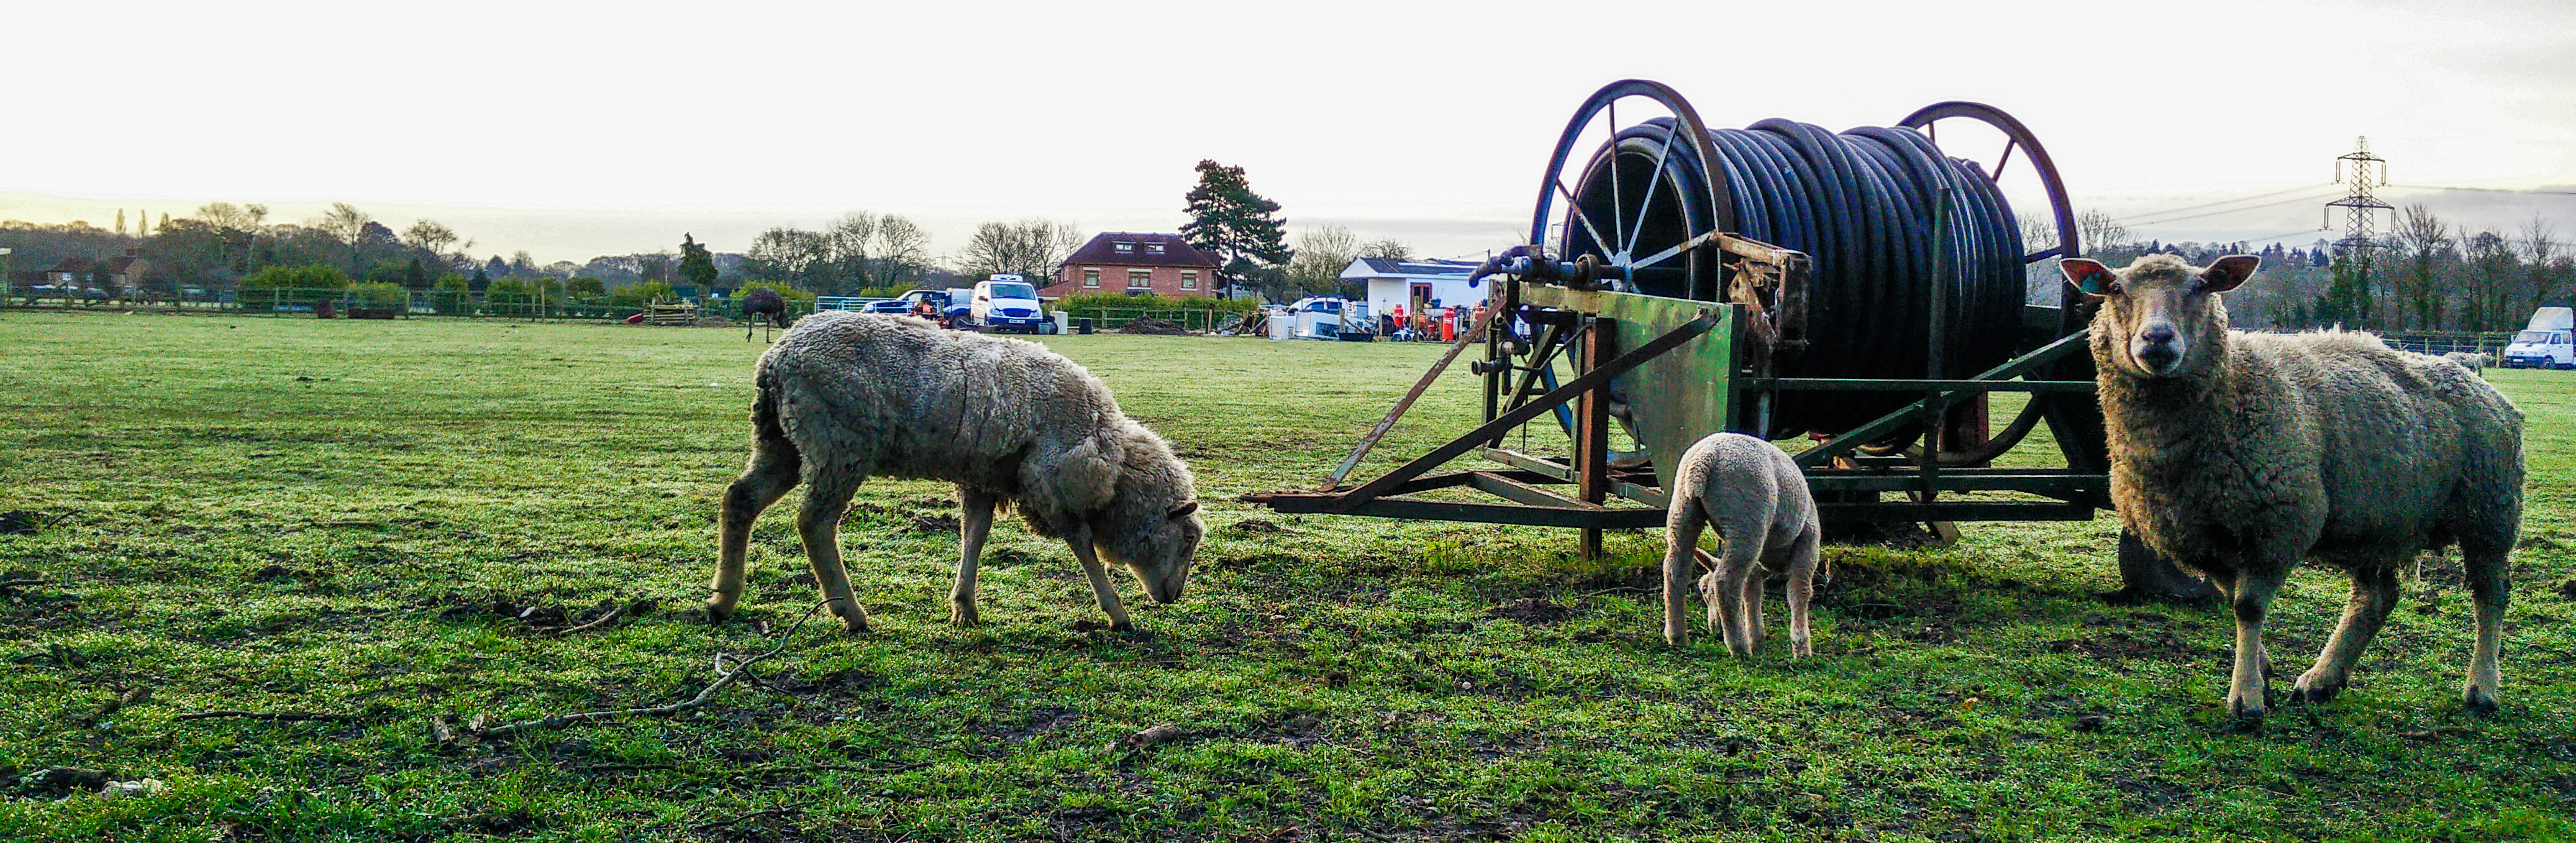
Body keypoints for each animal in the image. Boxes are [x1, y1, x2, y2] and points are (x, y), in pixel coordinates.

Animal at [706, 313, 1205, 637]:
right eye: (1186, 539)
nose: (1174, 596)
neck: (1113, 456)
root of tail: (777, 358)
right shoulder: (1048, 480)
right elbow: (1082, 545)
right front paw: (1117, 612)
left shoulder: (985, 476)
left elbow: (975, 534)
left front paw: (964, 606)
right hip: (838, 445)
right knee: (814, 524)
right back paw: (851, 613)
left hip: (781, 442)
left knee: (740, 499)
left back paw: (722, 599)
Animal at [1659, 433, 1824, 657]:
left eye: (1704, 590)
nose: (1715, 630)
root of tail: (1706, 457)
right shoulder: (1809, 540)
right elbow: (1799, 592)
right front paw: (1802, 649)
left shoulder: (1757, 566)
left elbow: (1751, 593)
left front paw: (1758, 640)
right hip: (1747, 520)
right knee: (1726, 581)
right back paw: (1739, 648)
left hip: (1683, 509)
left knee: (1675, 570)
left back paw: (1678, 637)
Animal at [2060, 256, 2524, 721]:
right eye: (2115, 289)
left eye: (2201, 286)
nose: (2157, 338)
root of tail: (2483, 385)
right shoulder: (2203, 535)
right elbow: (2231, 598)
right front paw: (2262, 675)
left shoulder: (2275, 525)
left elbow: (2247, 607)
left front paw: (2245, 697)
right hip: (2377, 519)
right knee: (2375, 597)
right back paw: (2322, 679)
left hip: (2490, 510)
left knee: (2491, 596)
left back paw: (2482, 688)